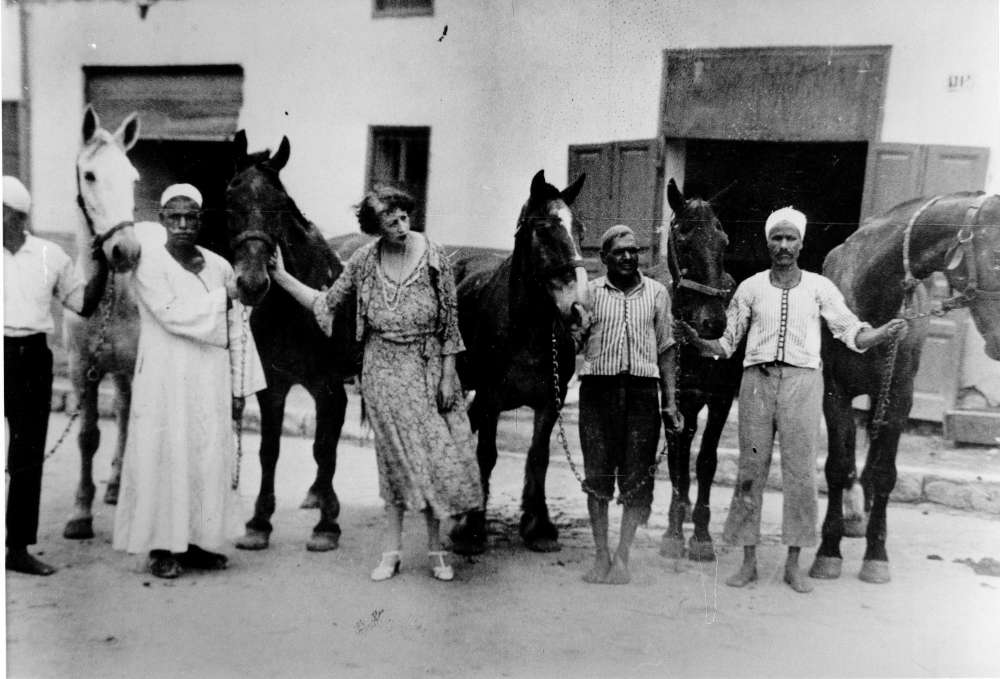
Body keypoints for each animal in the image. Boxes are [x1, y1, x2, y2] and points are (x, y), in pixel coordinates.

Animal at [224, 131, 356, 552]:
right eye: (231, 199)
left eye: (280, 204)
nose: (252, 284)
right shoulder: (274, 386)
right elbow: (270, 450)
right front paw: (259, 522)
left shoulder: (328, 385)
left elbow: (325, 446)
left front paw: (328, 524)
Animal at [452, 169, 588, 552]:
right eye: (543, 230)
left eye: (580, 230)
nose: (578, 309)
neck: (526, 330)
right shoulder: (490, 398)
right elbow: (487, 454)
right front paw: (473, 528)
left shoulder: (551, 401)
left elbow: (539, 455)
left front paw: (537, 525)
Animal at [812, 193, 1000, 584]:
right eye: (998, 255)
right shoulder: (835, 393)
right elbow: (837, 466)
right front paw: (828, 550)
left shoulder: (900, 397)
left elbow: (885, 473)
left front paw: (876, 555)